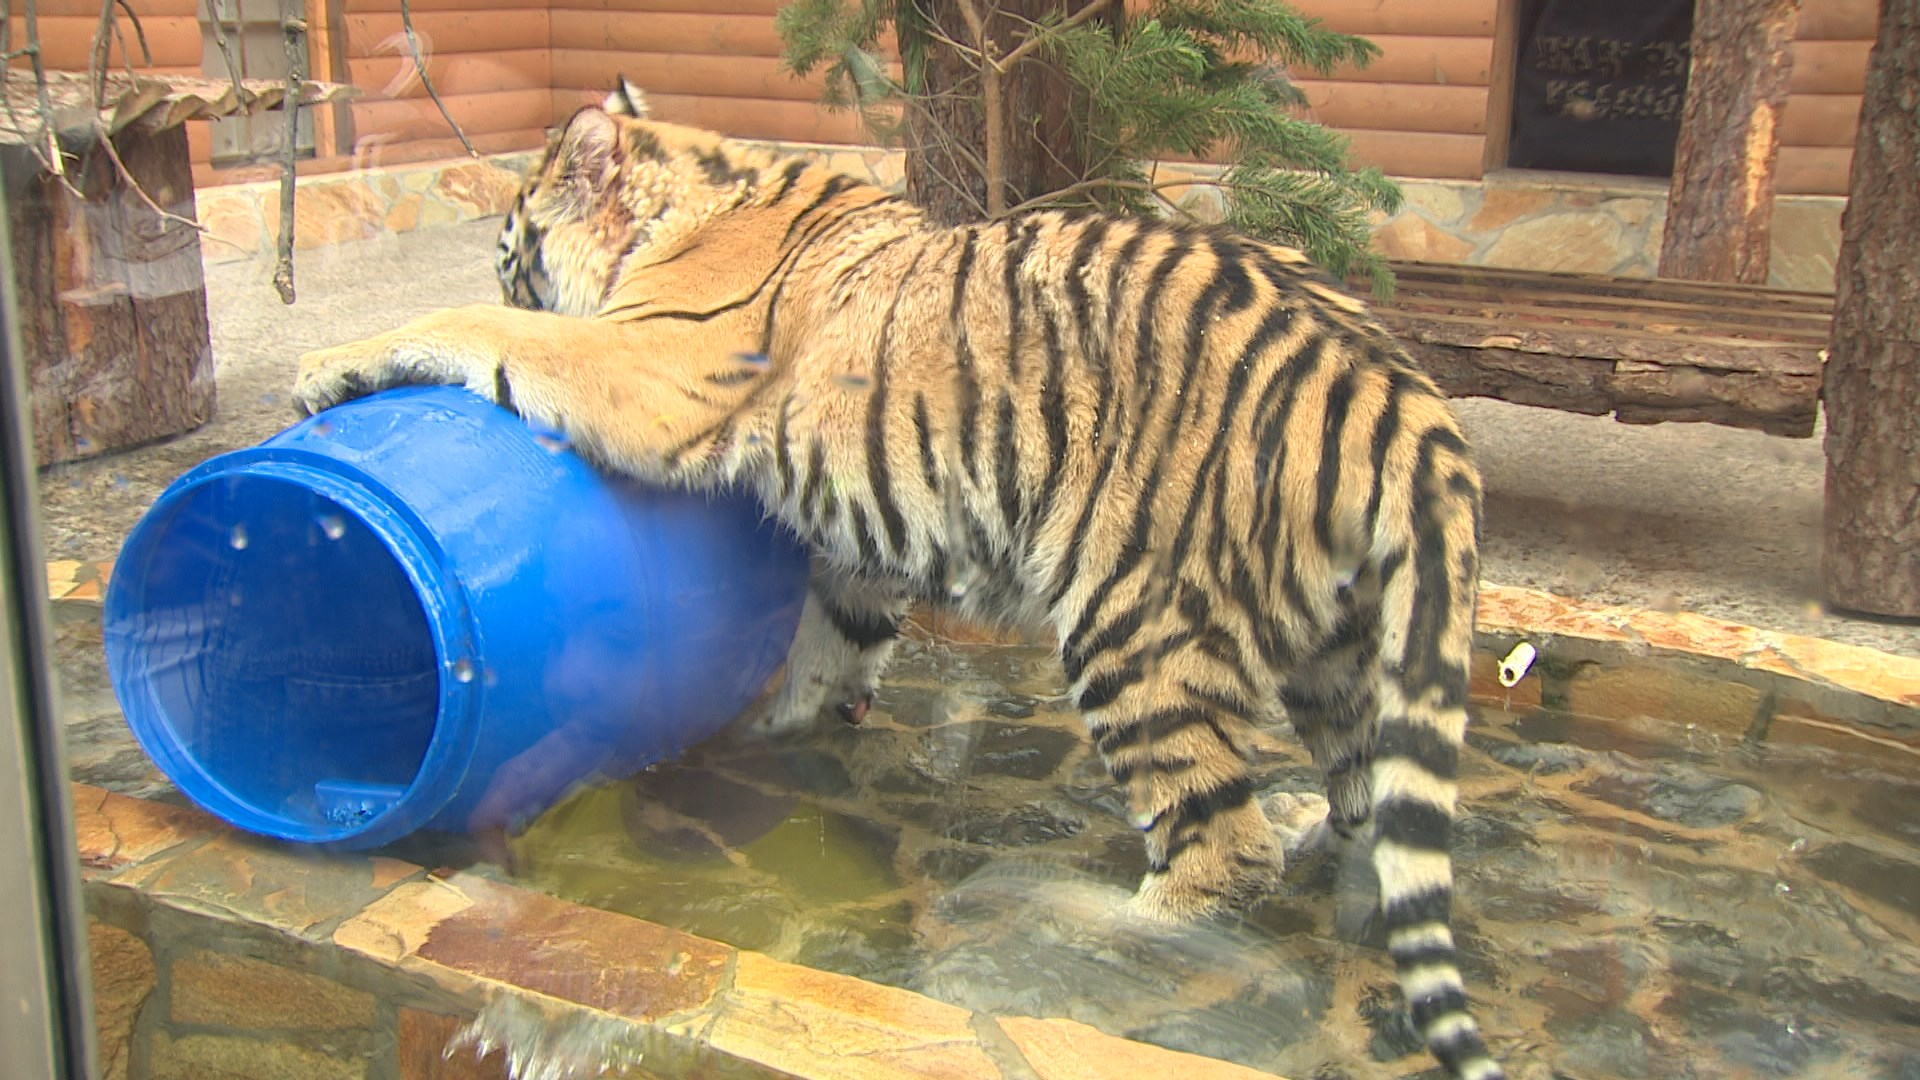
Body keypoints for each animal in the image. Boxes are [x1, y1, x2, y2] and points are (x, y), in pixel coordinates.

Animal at [291, 77, 1505, 1076]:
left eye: (510, 255)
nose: (512, 273)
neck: (694, 195)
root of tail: (1395, 385)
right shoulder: (851, 552)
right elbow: (825, 655)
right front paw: (775, 739)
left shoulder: (647, 371)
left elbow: (468, 328)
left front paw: (326, 368)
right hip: (1344, 646)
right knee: (1370, 803)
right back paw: (1317, 847)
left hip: (1138, 623)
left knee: (1218, 847)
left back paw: (1091, 928)